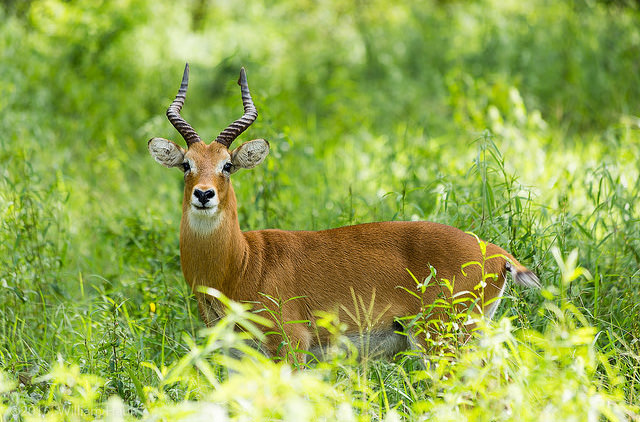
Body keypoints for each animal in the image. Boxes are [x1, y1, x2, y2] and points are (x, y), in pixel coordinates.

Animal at [149, 64, 540, 364]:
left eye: (227, 165)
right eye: (186, 164)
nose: (204, 194)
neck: (243, 264)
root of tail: (497, 254)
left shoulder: (292, 345)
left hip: (441, 338)